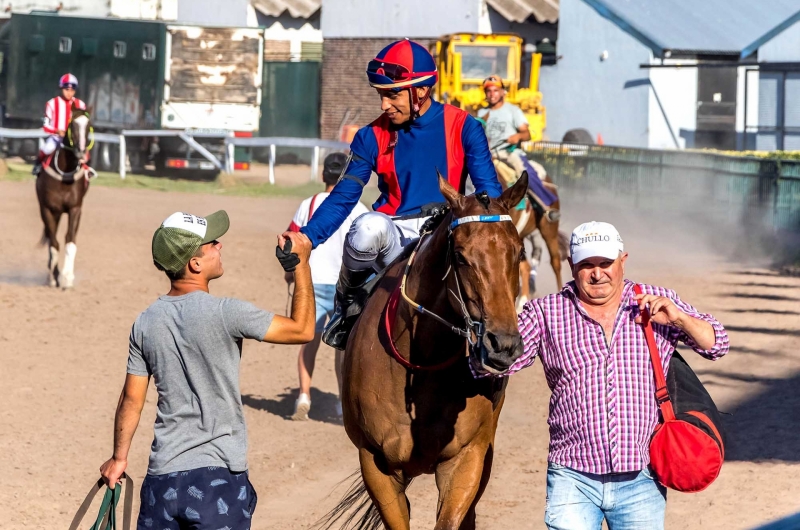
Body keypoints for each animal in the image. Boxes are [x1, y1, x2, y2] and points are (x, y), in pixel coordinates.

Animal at [36, 106, 94, 288]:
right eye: (72, 125)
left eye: (88, 125)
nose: (81, 151)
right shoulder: (47, 209)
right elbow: (54, 243)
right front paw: (53, 277)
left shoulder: (75, 208)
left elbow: (70, 240)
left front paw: (67, 277)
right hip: (51, 212)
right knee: (51, 238)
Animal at [322, 174, 528, 528]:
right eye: (460, 255)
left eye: (519, 252)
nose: (503, 345)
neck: (422, 364)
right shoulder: (375, 463)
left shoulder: (467, 459)